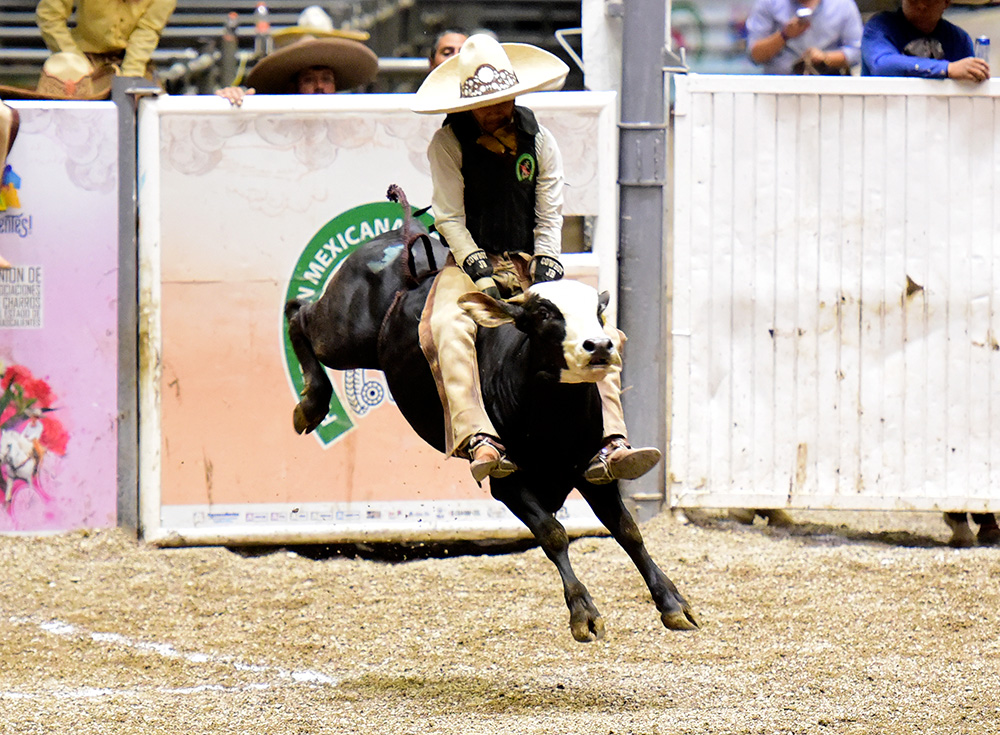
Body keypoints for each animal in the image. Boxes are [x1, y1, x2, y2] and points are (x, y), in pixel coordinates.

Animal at [286, 188, 700, 640]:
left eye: (599, 313)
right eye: (544, 313)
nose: (600, 345)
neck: (554, 419)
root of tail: (404, 233)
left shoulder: (591, 472)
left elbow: (628, 531)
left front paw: (674, 603)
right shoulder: (509, 481)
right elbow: (553, 534)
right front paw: (583, 613)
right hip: (343, 334)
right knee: (299, 313)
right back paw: (310, 405)